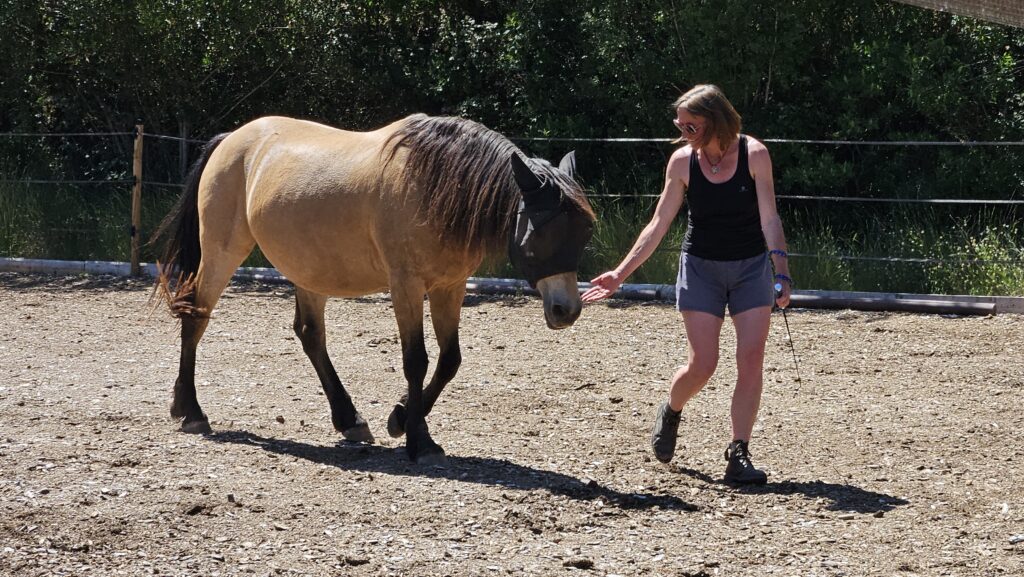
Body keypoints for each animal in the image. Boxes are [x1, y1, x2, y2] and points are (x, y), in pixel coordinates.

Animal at [152, 114, 595, 464]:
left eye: (584, 231)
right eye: (541, 231)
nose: (566, 310)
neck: (434, 185)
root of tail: (232, 139)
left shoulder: (449, 286)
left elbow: (449, 361)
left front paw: (401, 419)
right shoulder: (406, 286)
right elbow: (416, 360)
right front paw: (419, 440)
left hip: (310, 270)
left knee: (311, 336)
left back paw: (349, 420)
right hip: (221, 253)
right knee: (197, 317)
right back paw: (191, 411)